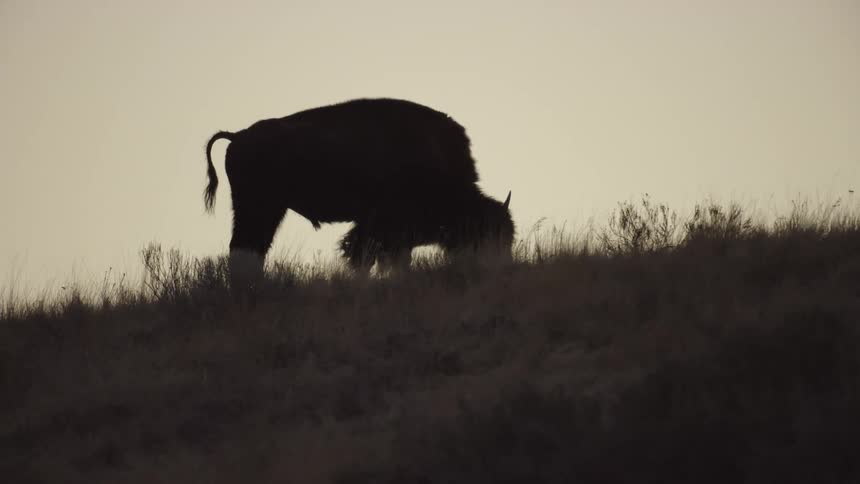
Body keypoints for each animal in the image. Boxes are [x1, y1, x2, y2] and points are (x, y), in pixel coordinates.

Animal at [203, 98, 514, 281]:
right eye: (487, 233)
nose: (503, 265)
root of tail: (237, 136)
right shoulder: (380, 226)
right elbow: (364, 255)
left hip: (266, 210)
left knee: (252, 247)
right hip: (258, 207)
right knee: (246, 246)